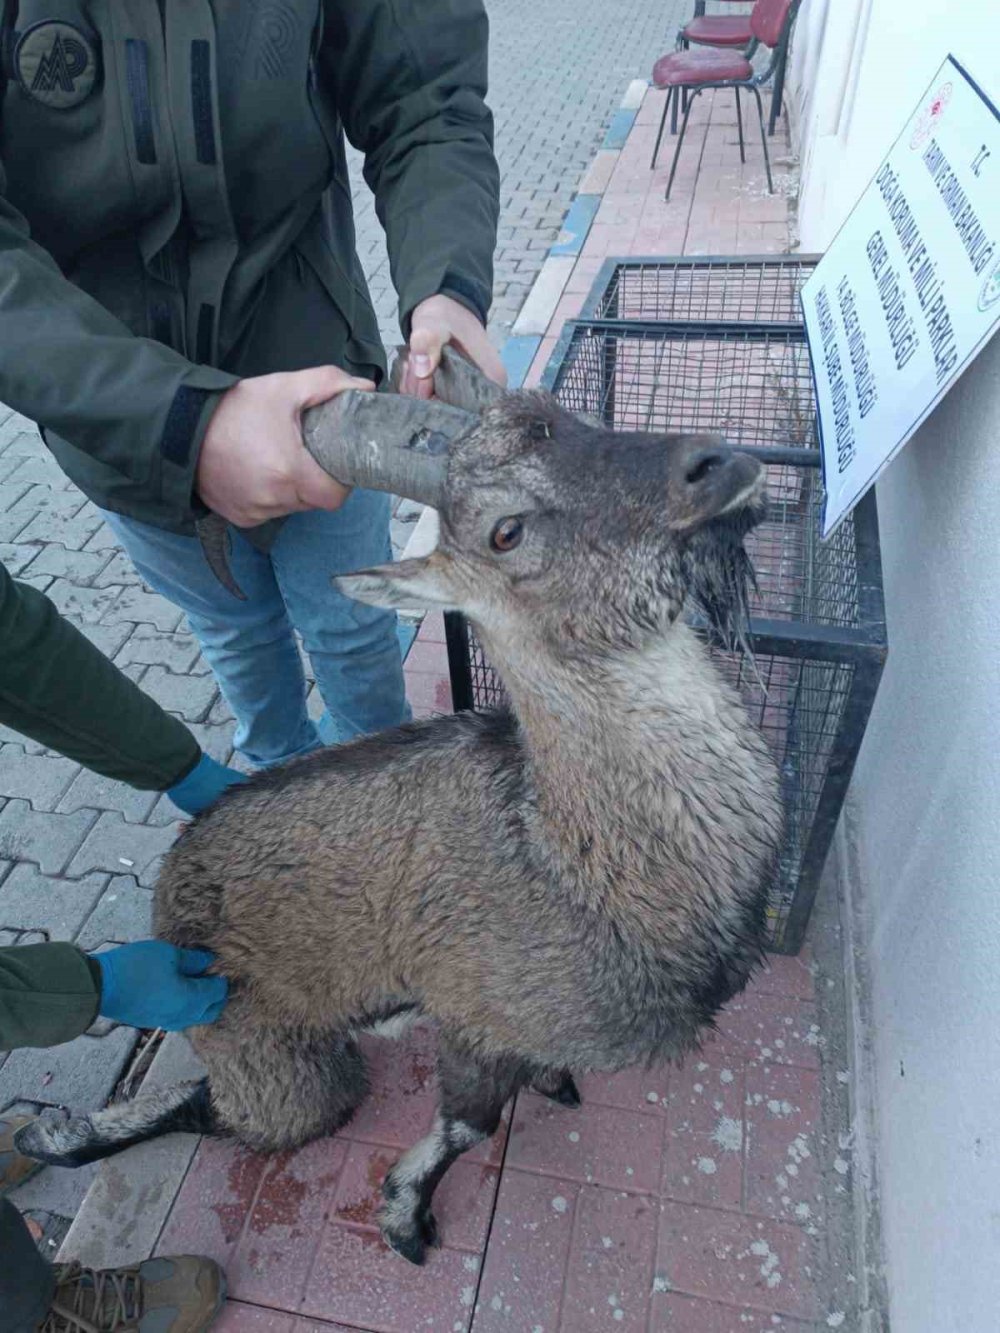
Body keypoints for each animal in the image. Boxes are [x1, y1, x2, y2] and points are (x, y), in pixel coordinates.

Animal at [17, 354, 784, 1258]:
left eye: (567, 418)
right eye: (505, 531)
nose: (717, 465)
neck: (583, 867)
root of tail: (175, 868)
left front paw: (550, 1080)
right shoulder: (478, 1021)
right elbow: (467, 1127)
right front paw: (406, 1216)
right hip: (273, 1054)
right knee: (237, 1111)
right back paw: (54, 1135)